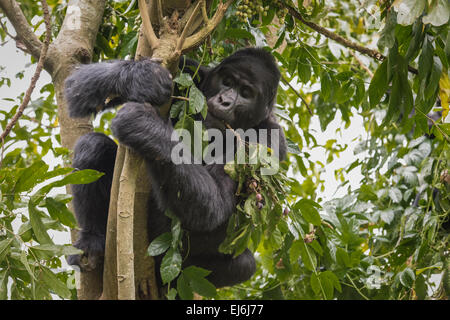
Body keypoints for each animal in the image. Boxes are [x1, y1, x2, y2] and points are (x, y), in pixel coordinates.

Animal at [65, 48, 286, 288]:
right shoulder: (188, 71)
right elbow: (75, 85)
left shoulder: (267, 140)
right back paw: (93, 242)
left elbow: (216, 204)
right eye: (227, 81)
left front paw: (143, 124)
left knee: (244, 265)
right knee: (93, 146)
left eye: (245, 93)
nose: (225, 101)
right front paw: (143, 78)